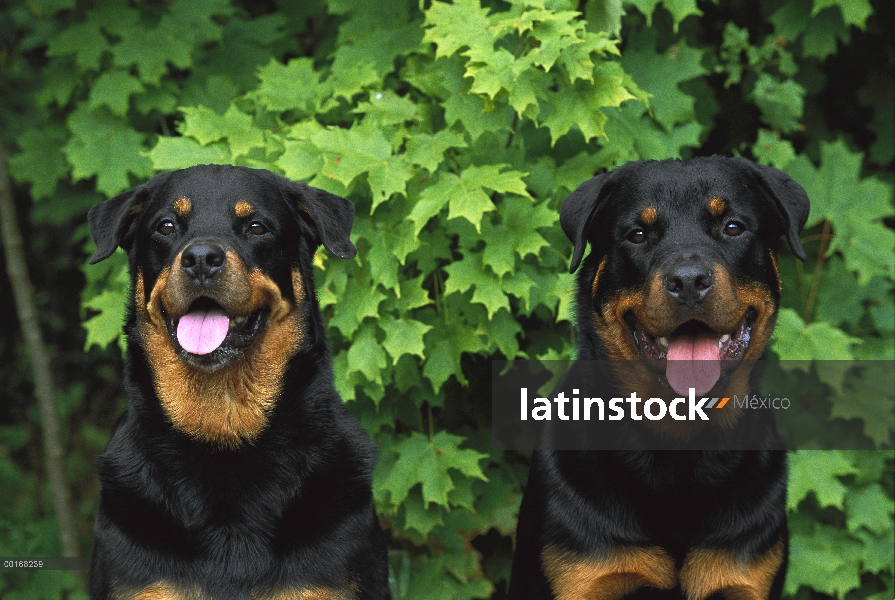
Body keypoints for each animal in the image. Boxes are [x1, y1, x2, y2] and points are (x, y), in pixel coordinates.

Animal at [512, 157, 812, 596]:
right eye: (637, 235)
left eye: (733, 227)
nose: (688, 280)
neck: (678, 448)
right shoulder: (584, 573)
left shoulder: (742, 572)